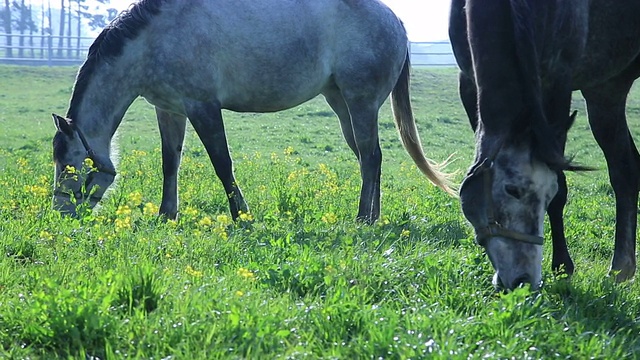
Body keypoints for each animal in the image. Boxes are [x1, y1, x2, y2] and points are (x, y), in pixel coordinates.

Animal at [50, 0, 452, 224]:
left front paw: (242, 216)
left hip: (360, 102)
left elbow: (222, 164)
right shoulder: (170, 110)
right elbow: (170, 163)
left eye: (70, 165)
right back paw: (374, 217)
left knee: (370, 157)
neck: (153, 40)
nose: (61, 214)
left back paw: (363, 219)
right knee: (370, 158)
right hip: (341, 105)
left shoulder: (203, 107)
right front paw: (167, 215)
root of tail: (396, 22)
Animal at [448, 0, 640, 292]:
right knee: (628, 168)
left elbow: (561, 187)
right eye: (513, 190)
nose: (523, 280)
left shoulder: (557, 83)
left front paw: (562, 266)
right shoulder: (468, 82)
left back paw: (620, 267)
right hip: (606, 89)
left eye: (547, 194)